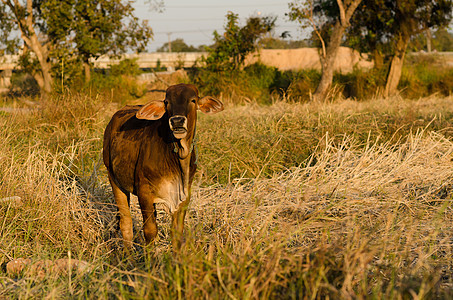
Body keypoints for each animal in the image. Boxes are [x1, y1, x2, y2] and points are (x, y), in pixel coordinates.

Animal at [102, 83, 222, 247]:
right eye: (167, 102)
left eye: (193, 100)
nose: (177, 121)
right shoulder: (144, 193)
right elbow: (150, 231)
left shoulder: (183, 197)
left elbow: (176, 233)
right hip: (114, 179)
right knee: (126, 223)